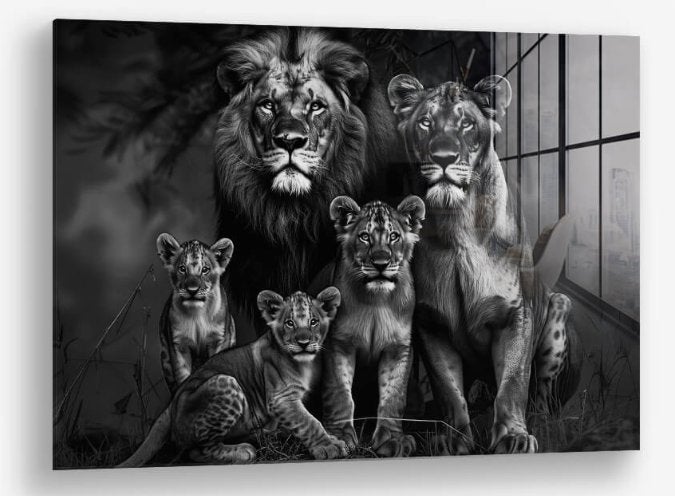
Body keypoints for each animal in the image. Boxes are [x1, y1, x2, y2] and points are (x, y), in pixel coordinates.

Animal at [117, 287, 346, 467]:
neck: (305, 363)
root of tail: (172, 405)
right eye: (289, 323)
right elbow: (309, 422)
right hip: (226, 382)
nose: (303, 342)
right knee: (197, 451)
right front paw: (328, 446)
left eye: (314, 322)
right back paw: (243, 451)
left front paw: (333, 440)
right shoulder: (281, 399)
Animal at [155, 233, 236, 393]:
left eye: (205, 269)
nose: (192, 290)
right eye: (182, 269)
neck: (197, 314)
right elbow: (183, 376)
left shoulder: (218, 340)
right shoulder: (179, 345)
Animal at [321, 195, 425, 457]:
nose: (380, 263)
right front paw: (340, 437)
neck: (376, 301)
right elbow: (340, 393)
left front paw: (392, 440)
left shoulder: (398, 348)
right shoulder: (339, 343)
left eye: (394, 236)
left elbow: (393, 396)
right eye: (365, 236)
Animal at [387, 74, 581, 454]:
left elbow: (513, 383)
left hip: (559, 308)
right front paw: (454, 439)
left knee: (543, 397)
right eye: (425, 122)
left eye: (466, 123)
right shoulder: (430, 323)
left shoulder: (515, 315)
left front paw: (513, 437)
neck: (456, 225)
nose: (444, 157)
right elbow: (448, 389)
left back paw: (546, 425)